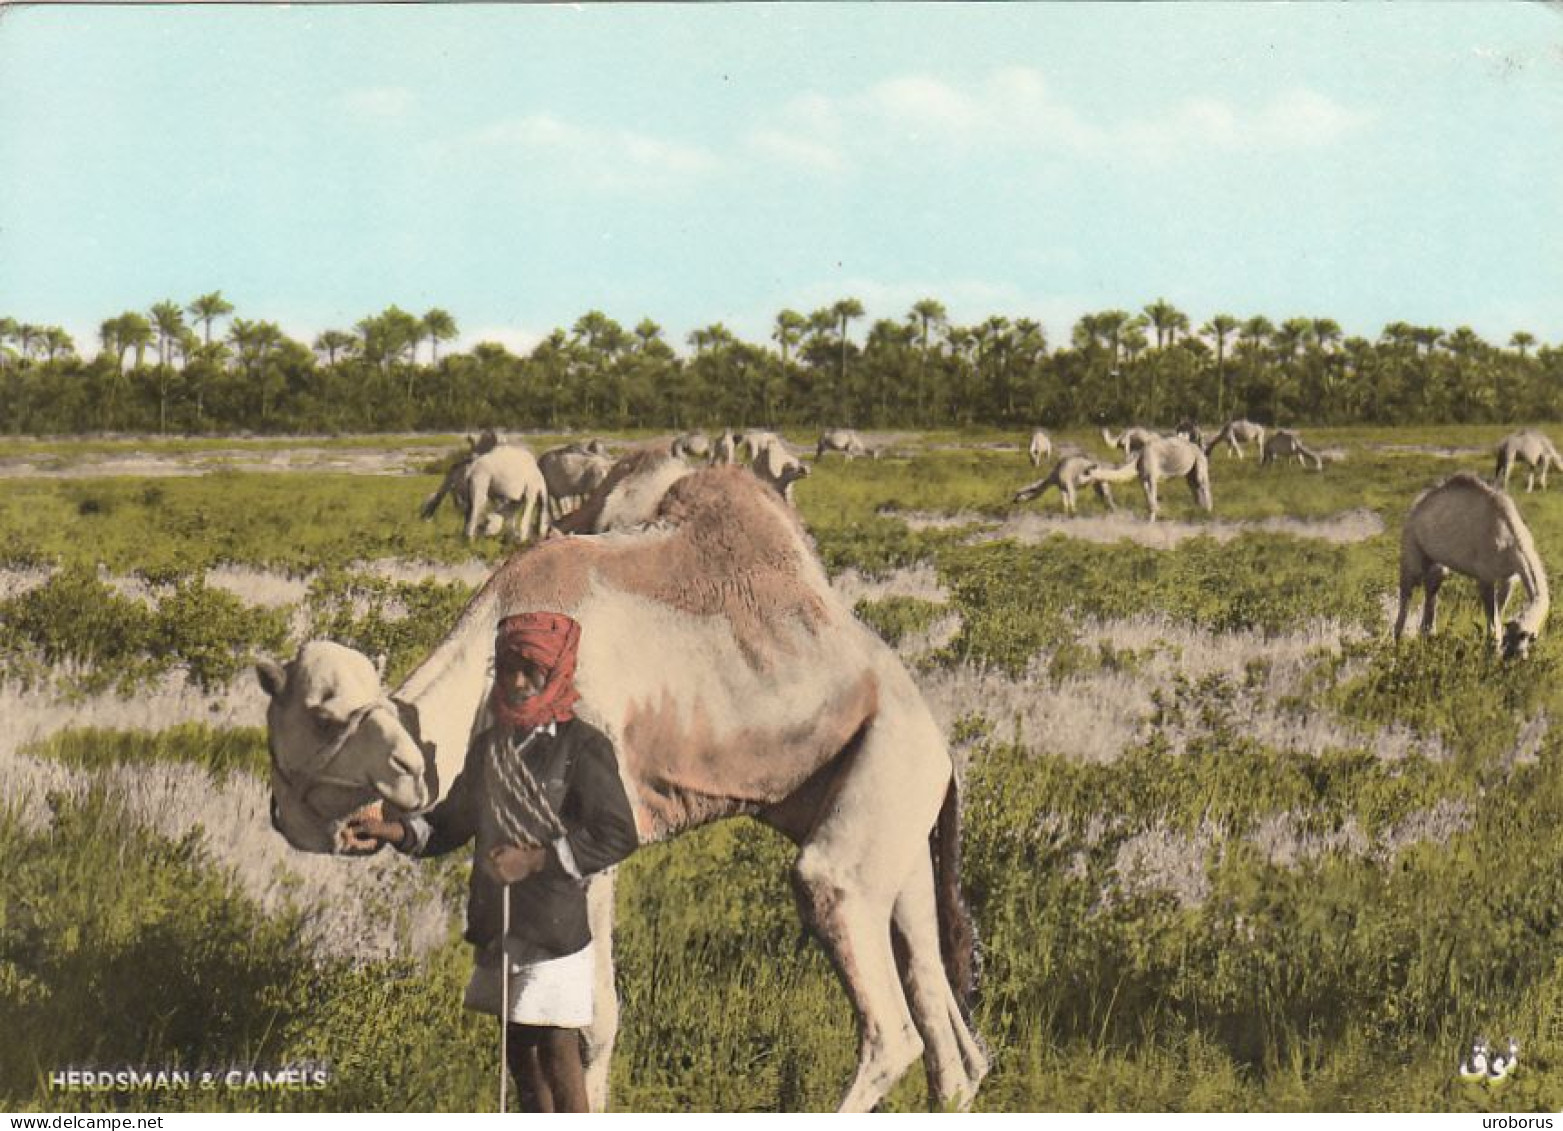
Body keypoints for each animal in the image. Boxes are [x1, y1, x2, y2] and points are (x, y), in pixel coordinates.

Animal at [256, 465, 987, 1112]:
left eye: (324, 717)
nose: (285, 816)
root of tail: (942, 748)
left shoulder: (595, 823)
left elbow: (591, 1018)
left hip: (882, 780)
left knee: (878, 998)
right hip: (894, 816)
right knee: (943, 1015)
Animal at [418, 440, 553, 543]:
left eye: (486, 524)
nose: (483, 532)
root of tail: (471, 467)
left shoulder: (512, 497)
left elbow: (509, 514)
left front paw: (511, 537)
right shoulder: (531, 490)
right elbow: (524, 514)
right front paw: (521, 540)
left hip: (469, 486)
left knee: (468, 509)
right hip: (480, 479)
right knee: (477, 505)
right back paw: (470, 539)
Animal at [1081, 434, 1212, 524]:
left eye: (1086, 473)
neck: (1139, 459)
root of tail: (1199, 447)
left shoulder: (1152, 476)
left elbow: (1152, 499)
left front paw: (1152, 521)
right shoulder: (1142, 478)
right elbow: (1148, 500)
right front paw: (1152, 518)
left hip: (1199, 461)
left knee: (1203, 484)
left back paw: (1208, 511)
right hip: (1189, 472)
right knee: (1193, 486)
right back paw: (1198, 510)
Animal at [1400, 471, 1544, 662]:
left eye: (1529, 639)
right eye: (1518, 636)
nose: (1515, 658)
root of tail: (1416, 508)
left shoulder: (1509, 579)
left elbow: (1498, 615)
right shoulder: (1485, 578)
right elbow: (1494, 622)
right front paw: (1492, 655)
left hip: (1438, 565)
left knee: (1431, 592)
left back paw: (1427, 638)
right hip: (1411, 551)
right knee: (1406, 594)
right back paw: (1397, 644)